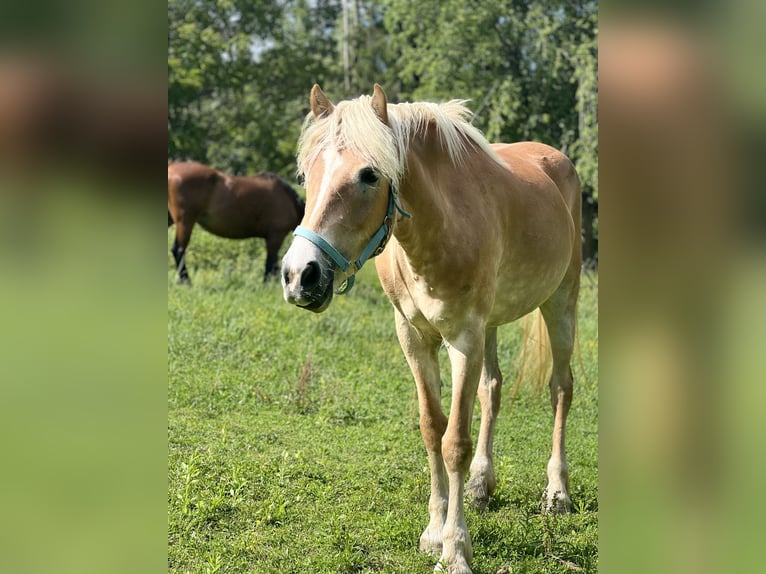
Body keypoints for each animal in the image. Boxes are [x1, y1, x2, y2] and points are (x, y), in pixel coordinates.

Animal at [168, 161, 305, 284]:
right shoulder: (276, 236)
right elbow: (271, 262)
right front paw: (268, 283)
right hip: (185, 221)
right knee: (178, 250)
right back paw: (186, 281)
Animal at [281, 84, 581, 574]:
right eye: (308, 173)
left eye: (369, 174)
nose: (299, 275)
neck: (441, 224)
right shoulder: (414, 337)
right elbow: (431, 427)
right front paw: (434, 531)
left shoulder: (463, 339)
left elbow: (454, 440)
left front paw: (455, 548)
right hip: (492, 325)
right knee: (492, 389)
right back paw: (480, 486)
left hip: (561, 303)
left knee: (560, 389)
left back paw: (557, 494)